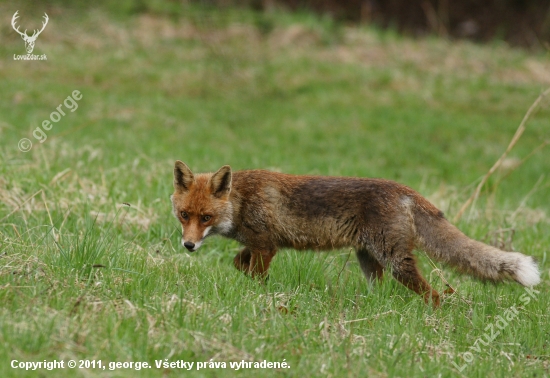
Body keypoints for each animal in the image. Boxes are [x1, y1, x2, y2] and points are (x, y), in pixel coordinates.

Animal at [172, 161, 544, 306]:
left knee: (434, 294)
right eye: (184, 215)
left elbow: (256, 276)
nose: (188, 245)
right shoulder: (258, 244)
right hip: (368, 259)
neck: (241, 202)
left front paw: (260, 297)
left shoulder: (266, 246)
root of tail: (405, 190)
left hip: (395, 261)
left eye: (206, 217)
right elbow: (239, 264)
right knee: (381, 289)